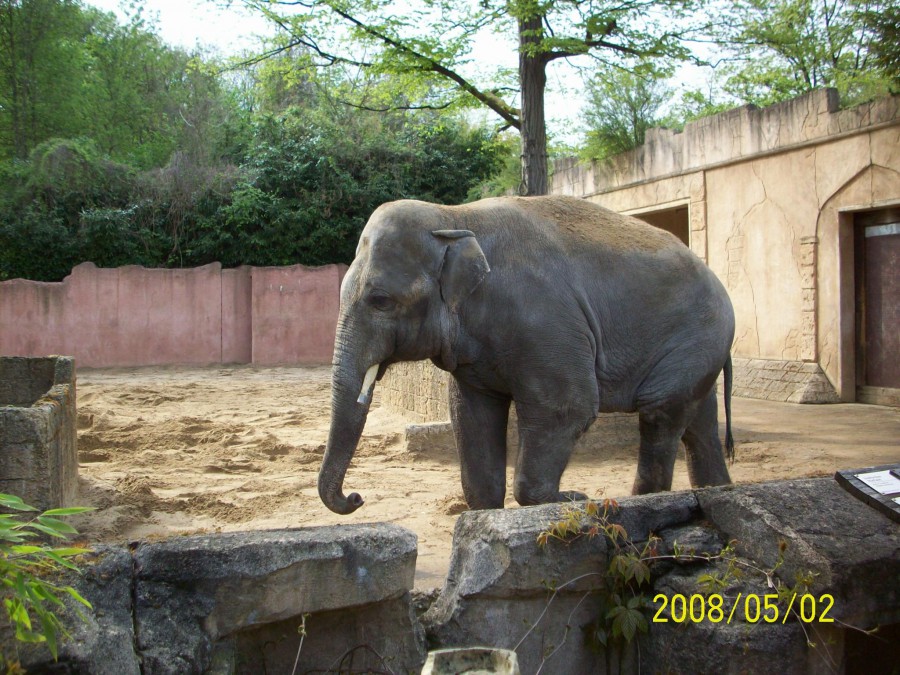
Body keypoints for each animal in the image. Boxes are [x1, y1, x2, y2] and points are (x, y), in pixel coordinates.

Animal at [320, 195, 736, 516]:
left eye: (380, 301)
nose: (356, 497)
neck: (453, 217)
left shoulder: (546, 322)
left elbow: (566, 407)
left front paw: (570, 499)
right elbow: (471, 414)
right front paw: (486, 511)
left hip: (698, 335)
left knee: (661, 414)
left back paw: (644, 503)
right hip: (699, 351)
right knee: (697, 420)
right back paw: (718, 492)